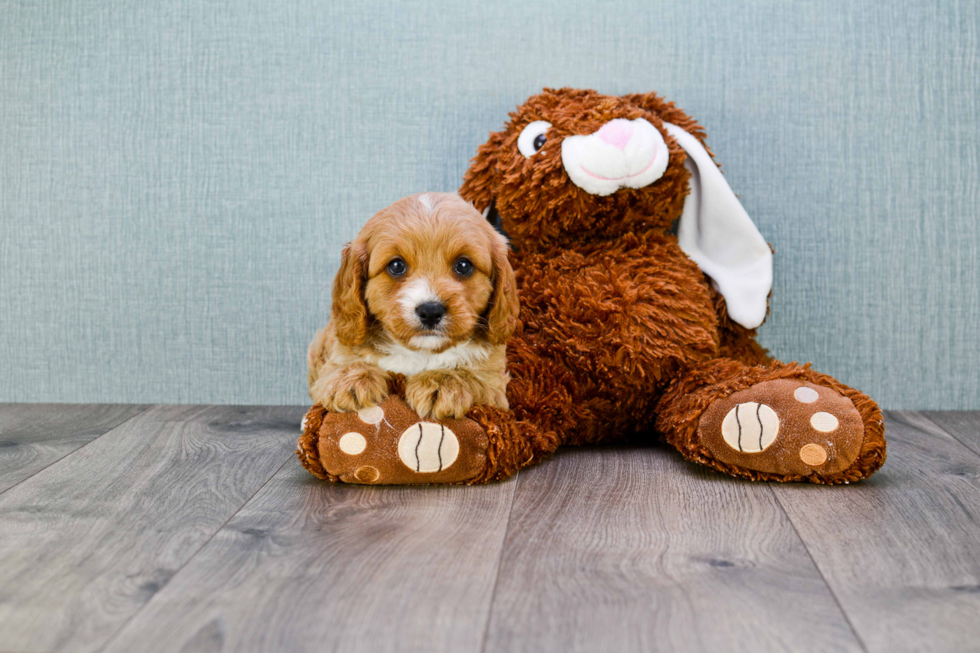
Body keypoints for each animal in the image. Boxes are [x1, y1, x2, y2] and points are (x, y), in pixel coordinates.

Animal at [308, 191, 520, 420]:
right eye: (396, 265)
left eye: (464, 265)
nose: (431, 311)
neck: (421, 353)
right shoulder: (333, 360)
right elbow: (339, 369)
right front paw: (352, 379)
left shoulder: (495, 389)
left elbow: (473, 376)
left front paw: (441, 382)